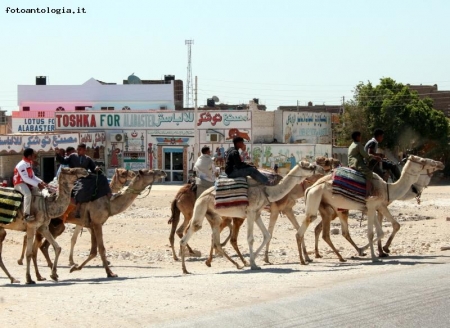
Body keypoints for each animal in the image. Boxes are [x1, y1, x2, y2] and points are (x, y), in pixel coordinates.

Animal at [179, 161, 316, 274]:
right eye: (307, 165)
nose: (315, 166)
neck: (268, 191)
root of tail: (200, 196)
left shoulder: (257, 213)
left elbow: (267, 235)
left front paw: (252, 261)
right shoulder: (250, 212)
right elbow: (250, 238)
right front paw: (254, 265)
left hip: (214, 216)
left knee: (216, 241)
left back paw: (236, 264)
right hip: (201, 208)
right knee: (191, 232)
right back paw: (185, 269)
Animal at [296, 155, 440, 266]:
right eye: (423, 161)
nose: (440, 163)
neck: (388, 188)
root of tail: (310, 188)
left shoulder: (375, 207)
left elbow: (384, 230)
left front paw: (379, 250)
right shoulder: (372, 206)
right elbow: (371, 233)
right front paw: (375, 256)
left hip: (326, 206)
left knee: (326, 232)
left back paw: (334, 257)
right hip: (317, 199)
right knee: (306, 227)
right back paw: (304, 260)